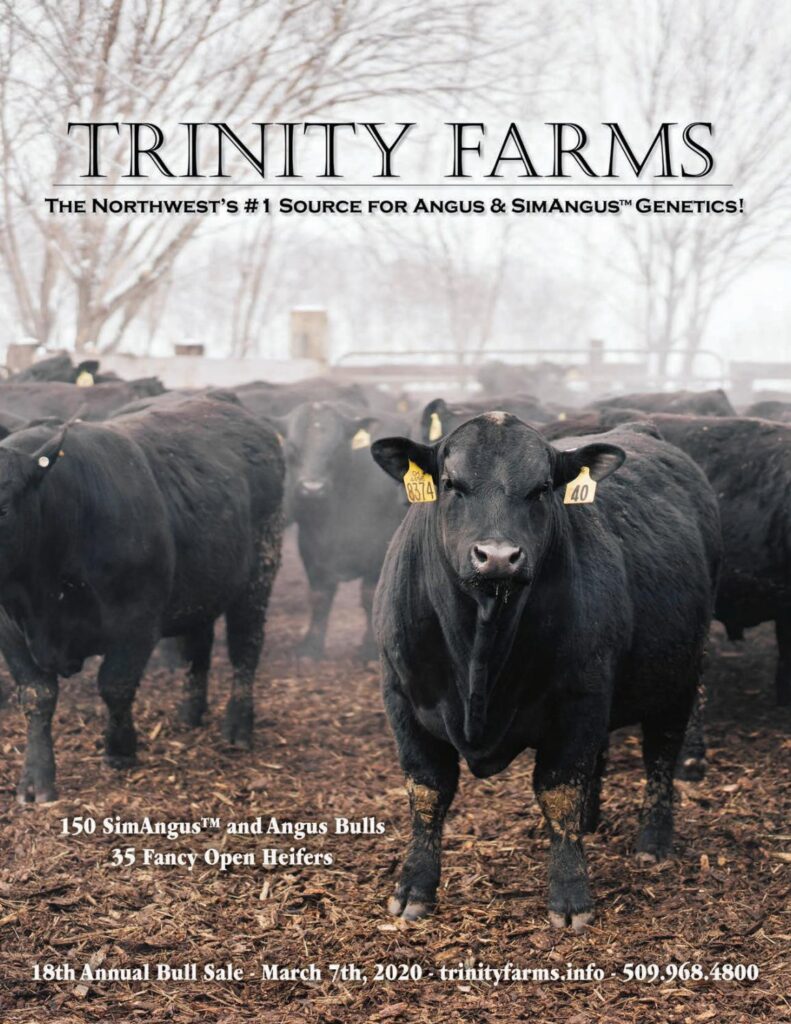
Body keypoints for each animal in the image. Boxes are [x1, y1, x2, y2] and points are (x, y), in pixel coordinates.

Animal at [0, 395, 284, 803]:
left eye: (4, 508)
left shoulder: (136, 621)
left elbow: (115, 685)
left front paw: (120, 750)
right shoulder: (11, 630)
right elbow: (37, 696)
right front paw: (36, 781)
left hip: (259, 572)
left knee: (245, 648)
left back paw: (238, 726)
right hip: (201, 587)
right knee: (197, 648)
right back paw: (190, 713)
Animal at [283, 401, 408, 660]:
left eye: (337, 446)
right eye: (292, 447)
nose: (312, 488)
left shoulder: (379, 546)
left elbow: (369, 596)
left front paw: (369, 649)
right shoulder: (310, 545)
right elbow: (319, 597)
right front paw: (311, 647)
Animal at [370, 414, 721, 929]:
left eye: (541, 489)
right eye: (451, 483)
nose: (497, 556)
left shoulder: (579, 698)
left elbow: (559, 789)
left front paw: (570, 895)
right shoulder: (402, 697)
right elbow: (428, 790)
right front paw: (413, 887)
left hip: (679, 674)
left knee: (660, 754)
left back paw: (653, 842)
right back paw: (591, 823)